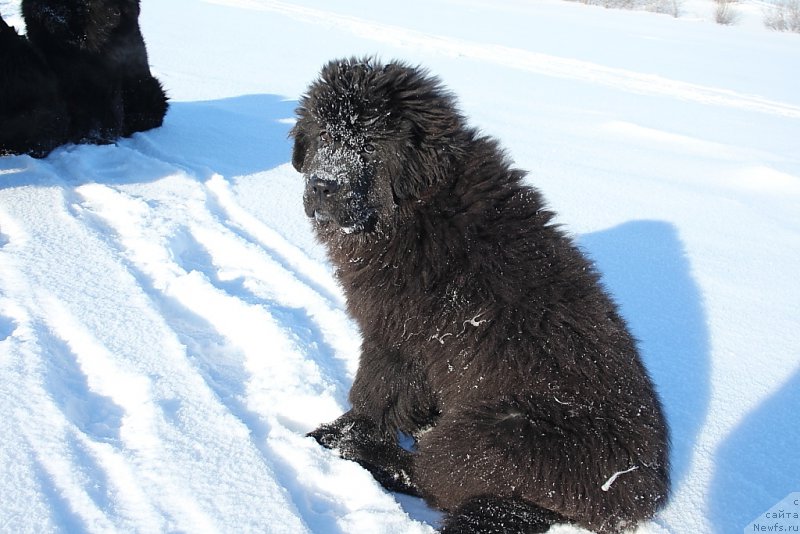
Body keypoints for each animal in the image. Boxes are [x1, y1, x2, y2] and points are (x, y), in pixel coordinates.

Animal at [294, 58, 668, 534]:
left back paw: (361, 452)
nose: (324, 185)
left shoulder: (393, 335)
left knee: (433, 479)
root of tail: (634, 503)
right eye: (324, 134)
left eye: (372, 143)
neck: (417, 203)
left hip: (496, 433)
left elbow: (373, 392)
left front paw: (343, 431)